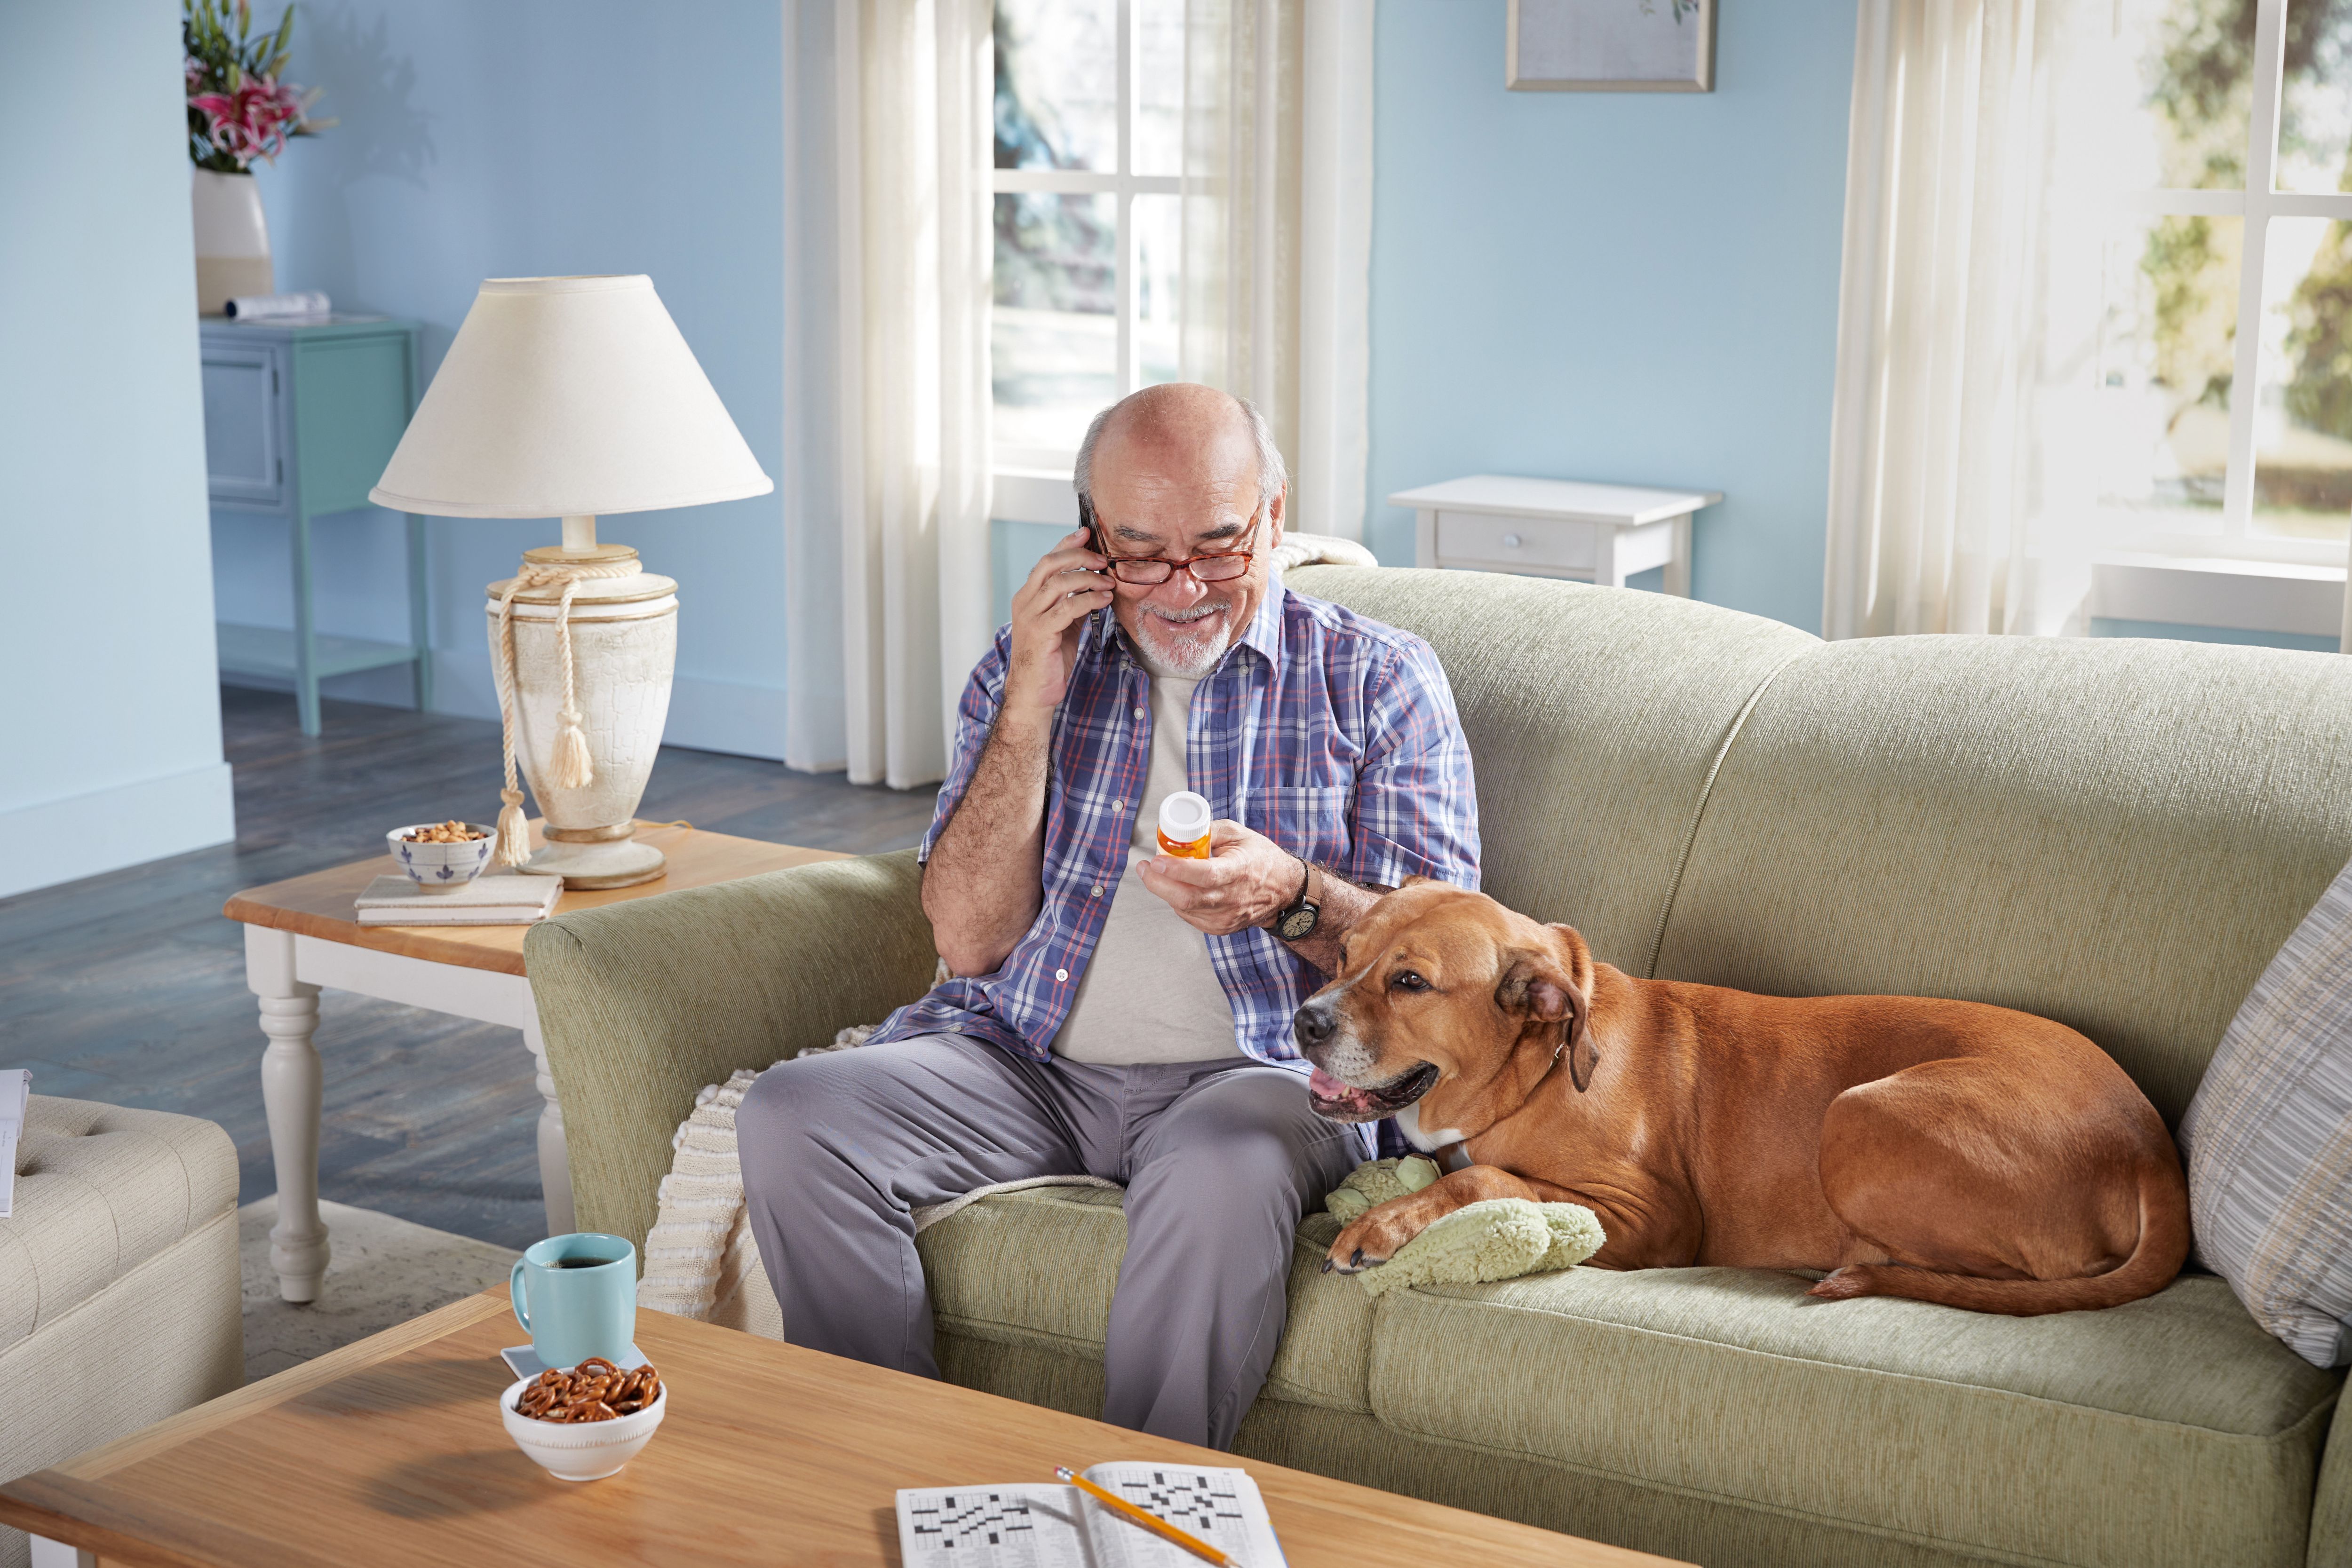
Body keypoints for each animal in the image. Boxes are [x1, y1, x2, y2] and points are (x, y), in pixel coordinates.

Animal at [1298, 884, 2192, 1316]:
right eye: (1341, 953)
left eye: (1411, 981)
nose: (1305, 1019)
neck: (1539, 1066)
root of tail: (2153, 1146)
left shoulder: (1654, 1221)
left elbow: (1481, 1178)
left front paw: (1380, 1225)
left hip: (1859, 1114)